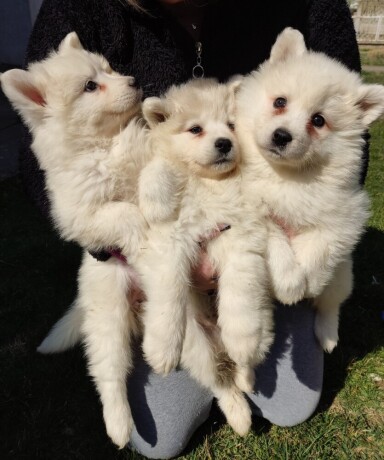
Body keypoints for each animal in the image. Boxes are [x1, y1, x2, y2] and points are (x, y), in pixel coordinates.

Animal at [0, 33, 149, 450]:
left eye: (110, 69)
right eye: (89, 86)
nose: (134, 81)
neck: (104, 144)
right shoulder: (78, 215)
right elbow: (121, 211)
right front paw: (141, 227)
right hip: (108, 314)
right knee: (108, 373)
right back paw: (119, 426)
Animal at [236, 27, 384, 352]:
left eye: (318, 120)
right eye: (280, 102)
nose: (282, 136)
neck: (287, 177)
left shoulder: (344, 215)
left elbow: (320, 247)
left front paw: (310, 281)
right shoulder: (250, 209)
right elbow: (275, 240)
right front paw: (291, 283)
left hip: (343, 274)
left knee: (331, 304)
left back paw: (328, 336)